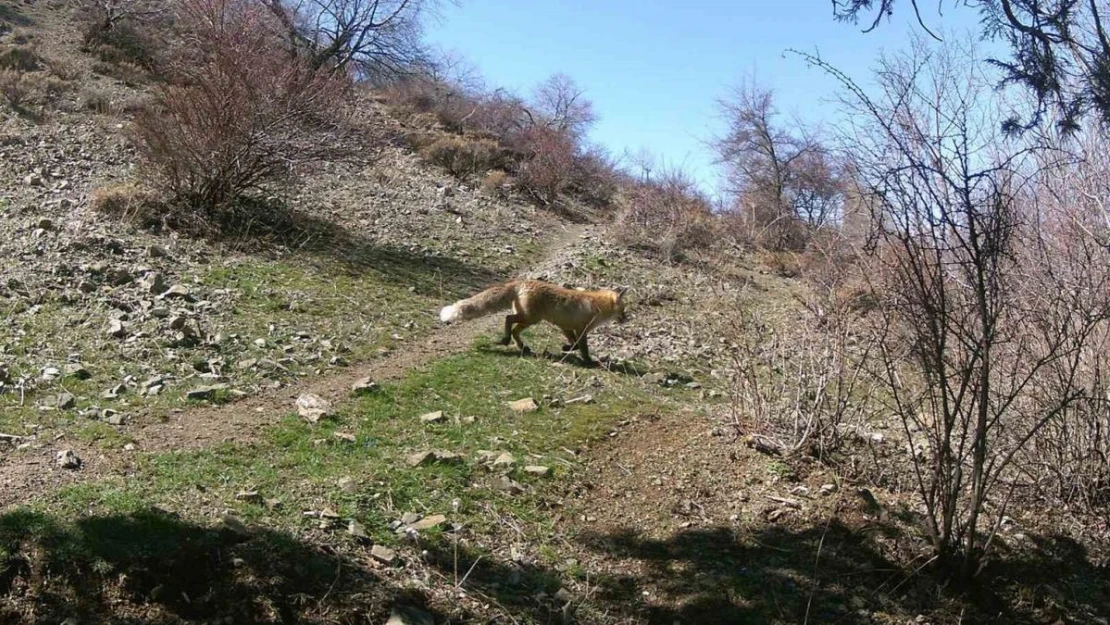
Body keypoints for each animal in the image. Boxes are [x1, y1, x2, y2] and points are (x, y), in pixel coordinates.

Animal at [439, 279, 630, 366]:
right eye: (623, 310)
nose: (627, 319)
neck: (597, 306)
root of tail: (521, 281)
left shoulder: (566, 327)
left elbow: (574, 344)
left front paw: (566, 348)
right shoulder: (580, 329)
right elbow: (582, 347)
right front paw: (589, 362)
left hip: (529, 319)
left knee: (514, 328)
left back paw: (521, 346)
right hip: (531, 318)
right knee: (508, 320)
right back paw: (507, 340)